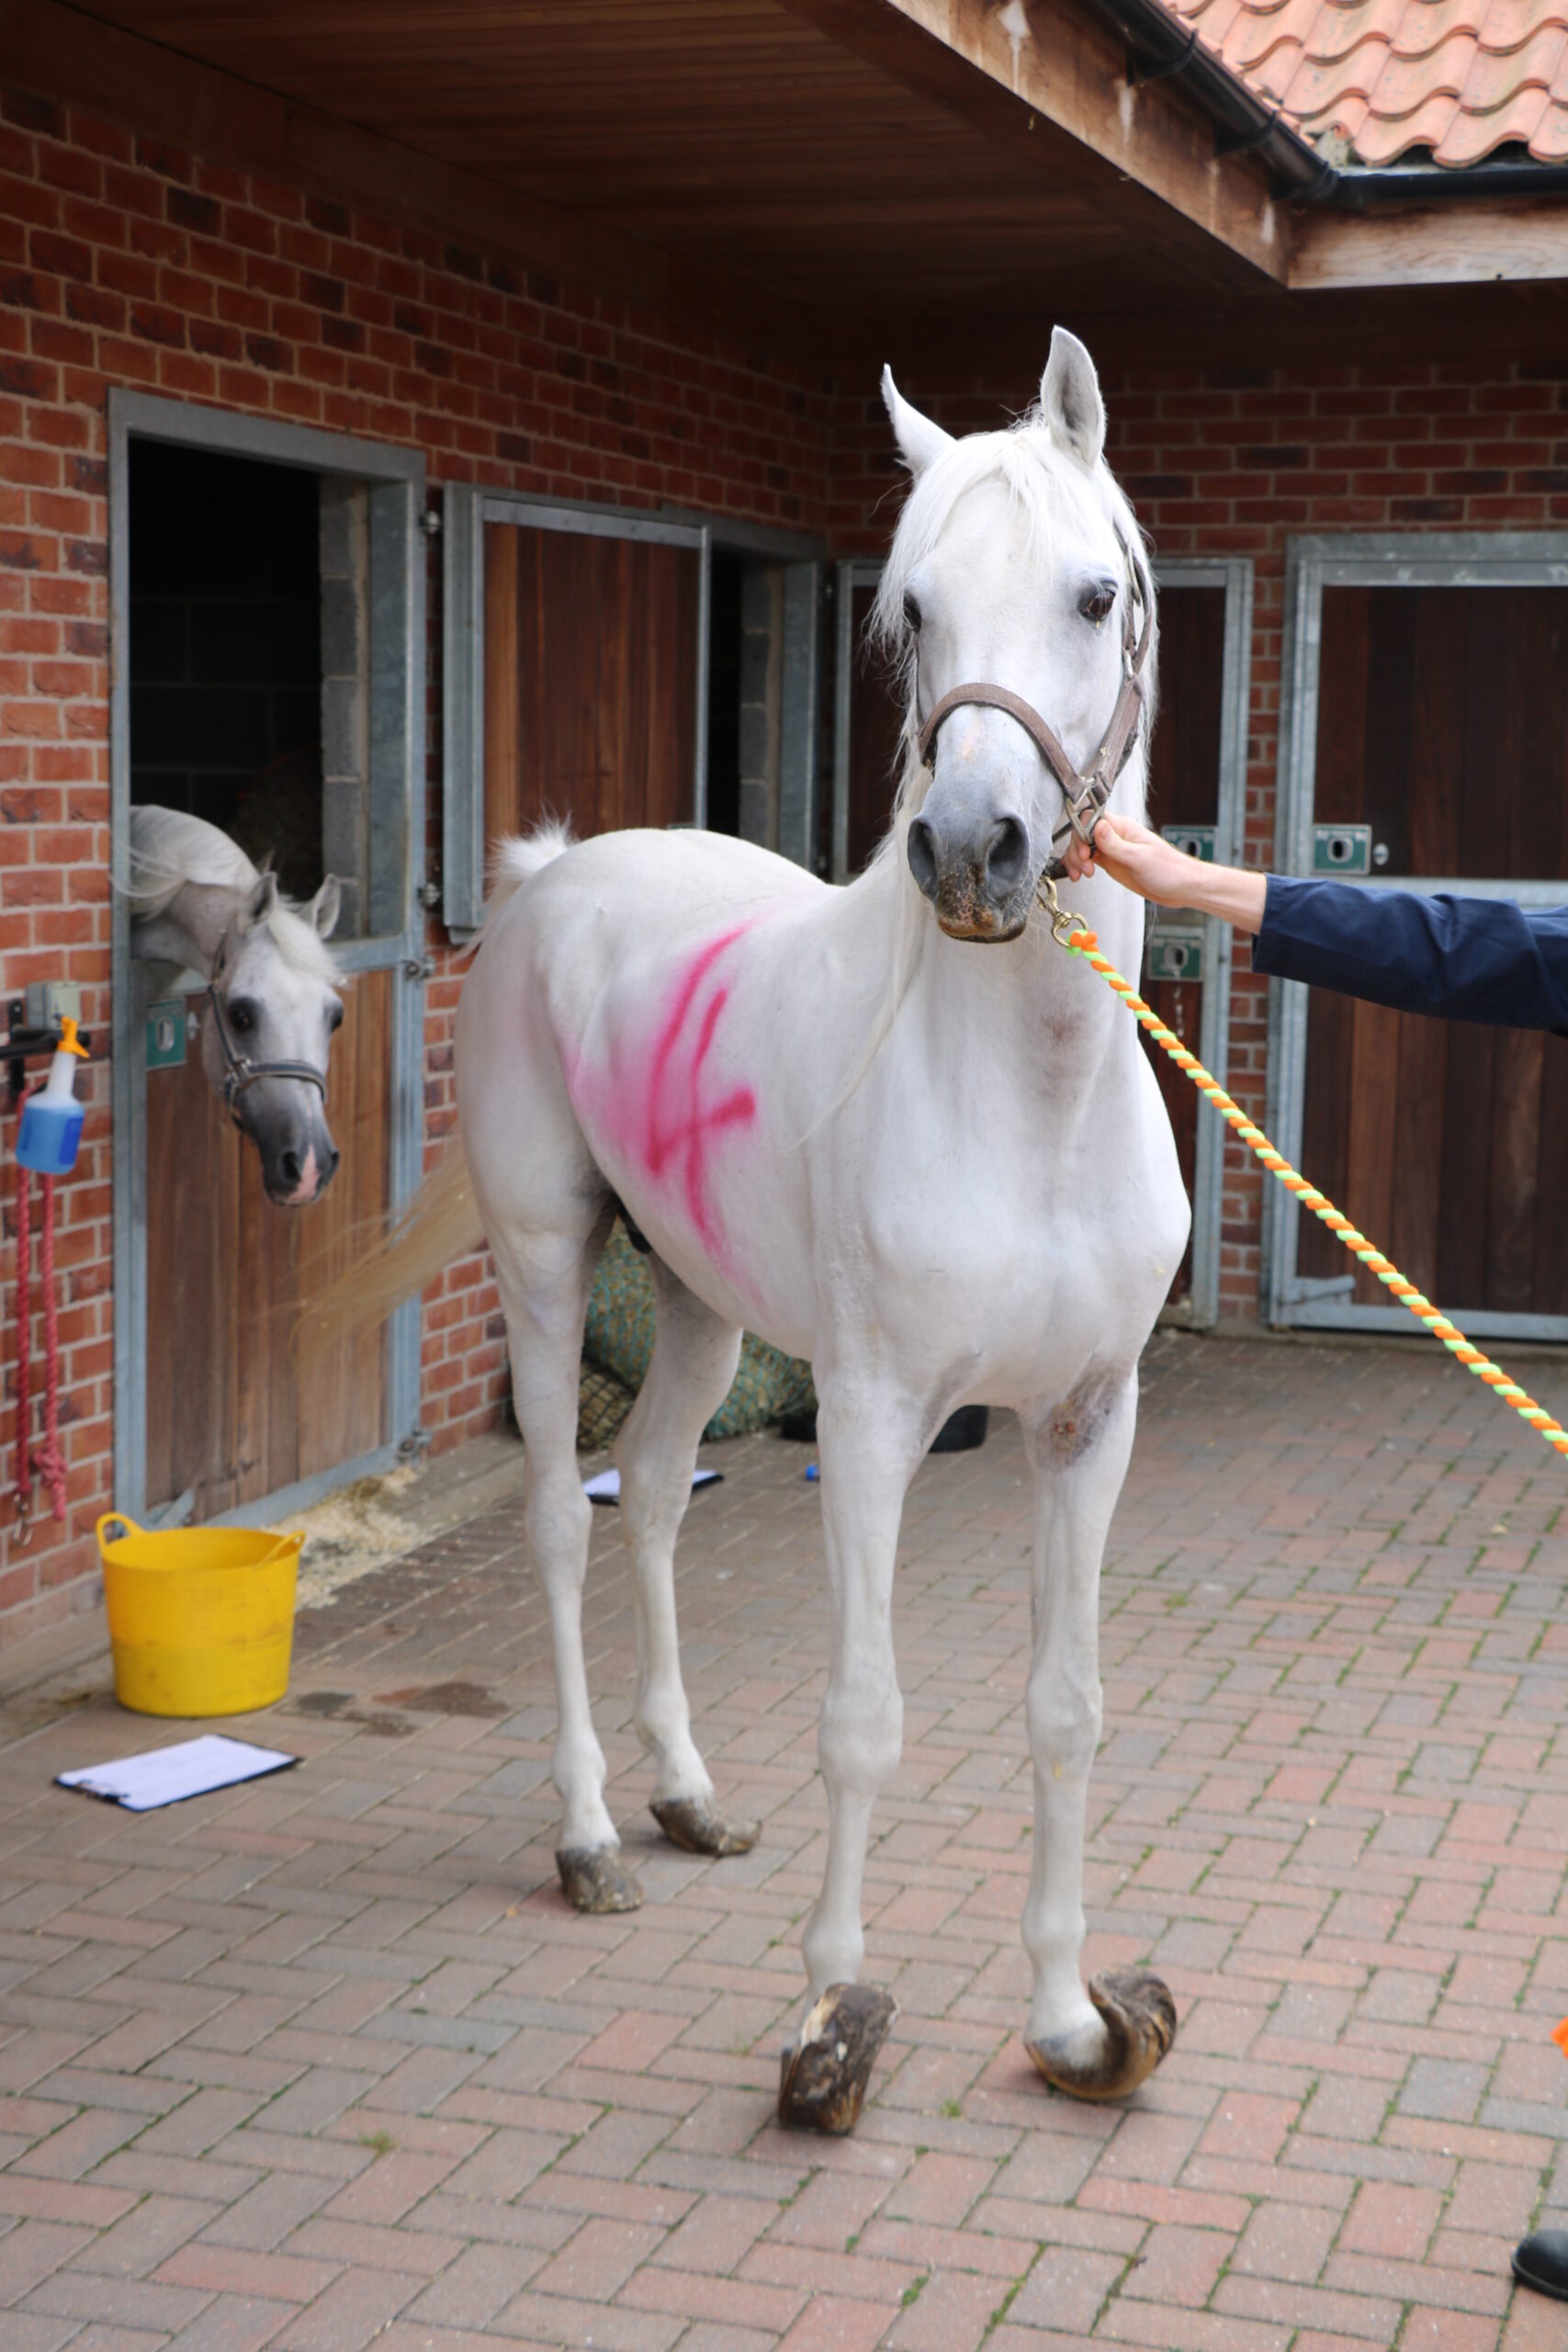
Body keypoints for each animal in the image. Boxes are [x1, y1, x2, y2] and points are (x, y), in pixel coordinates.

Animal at [317, 327, 1190, 2129]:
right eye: (912, 607)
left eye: (1092, 595)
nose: (972, 850)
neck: (1031, 1104)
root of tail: (552, 877)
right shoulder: (870, 1422)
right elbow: (864, 1717)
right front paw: (823, 2024)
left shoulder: (1088, 1421)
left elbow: (1064, 1713)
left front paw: (1070, 2024)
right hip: (546, 1265)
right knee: (564, 1523)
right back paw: (590, 1835)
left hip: (704, 1309)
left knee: (653, 1495)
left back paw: (686, 1796)